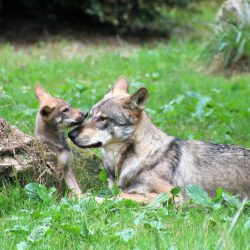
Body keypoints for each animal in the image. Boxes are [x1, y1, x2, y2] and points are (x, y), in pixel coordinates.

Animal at [68, 77, 250, 202]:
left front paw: (90, 199)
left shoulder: (174, 197)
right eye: (90, 114)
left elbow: (122, 196)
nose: (71, 135)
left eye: (103, 118)